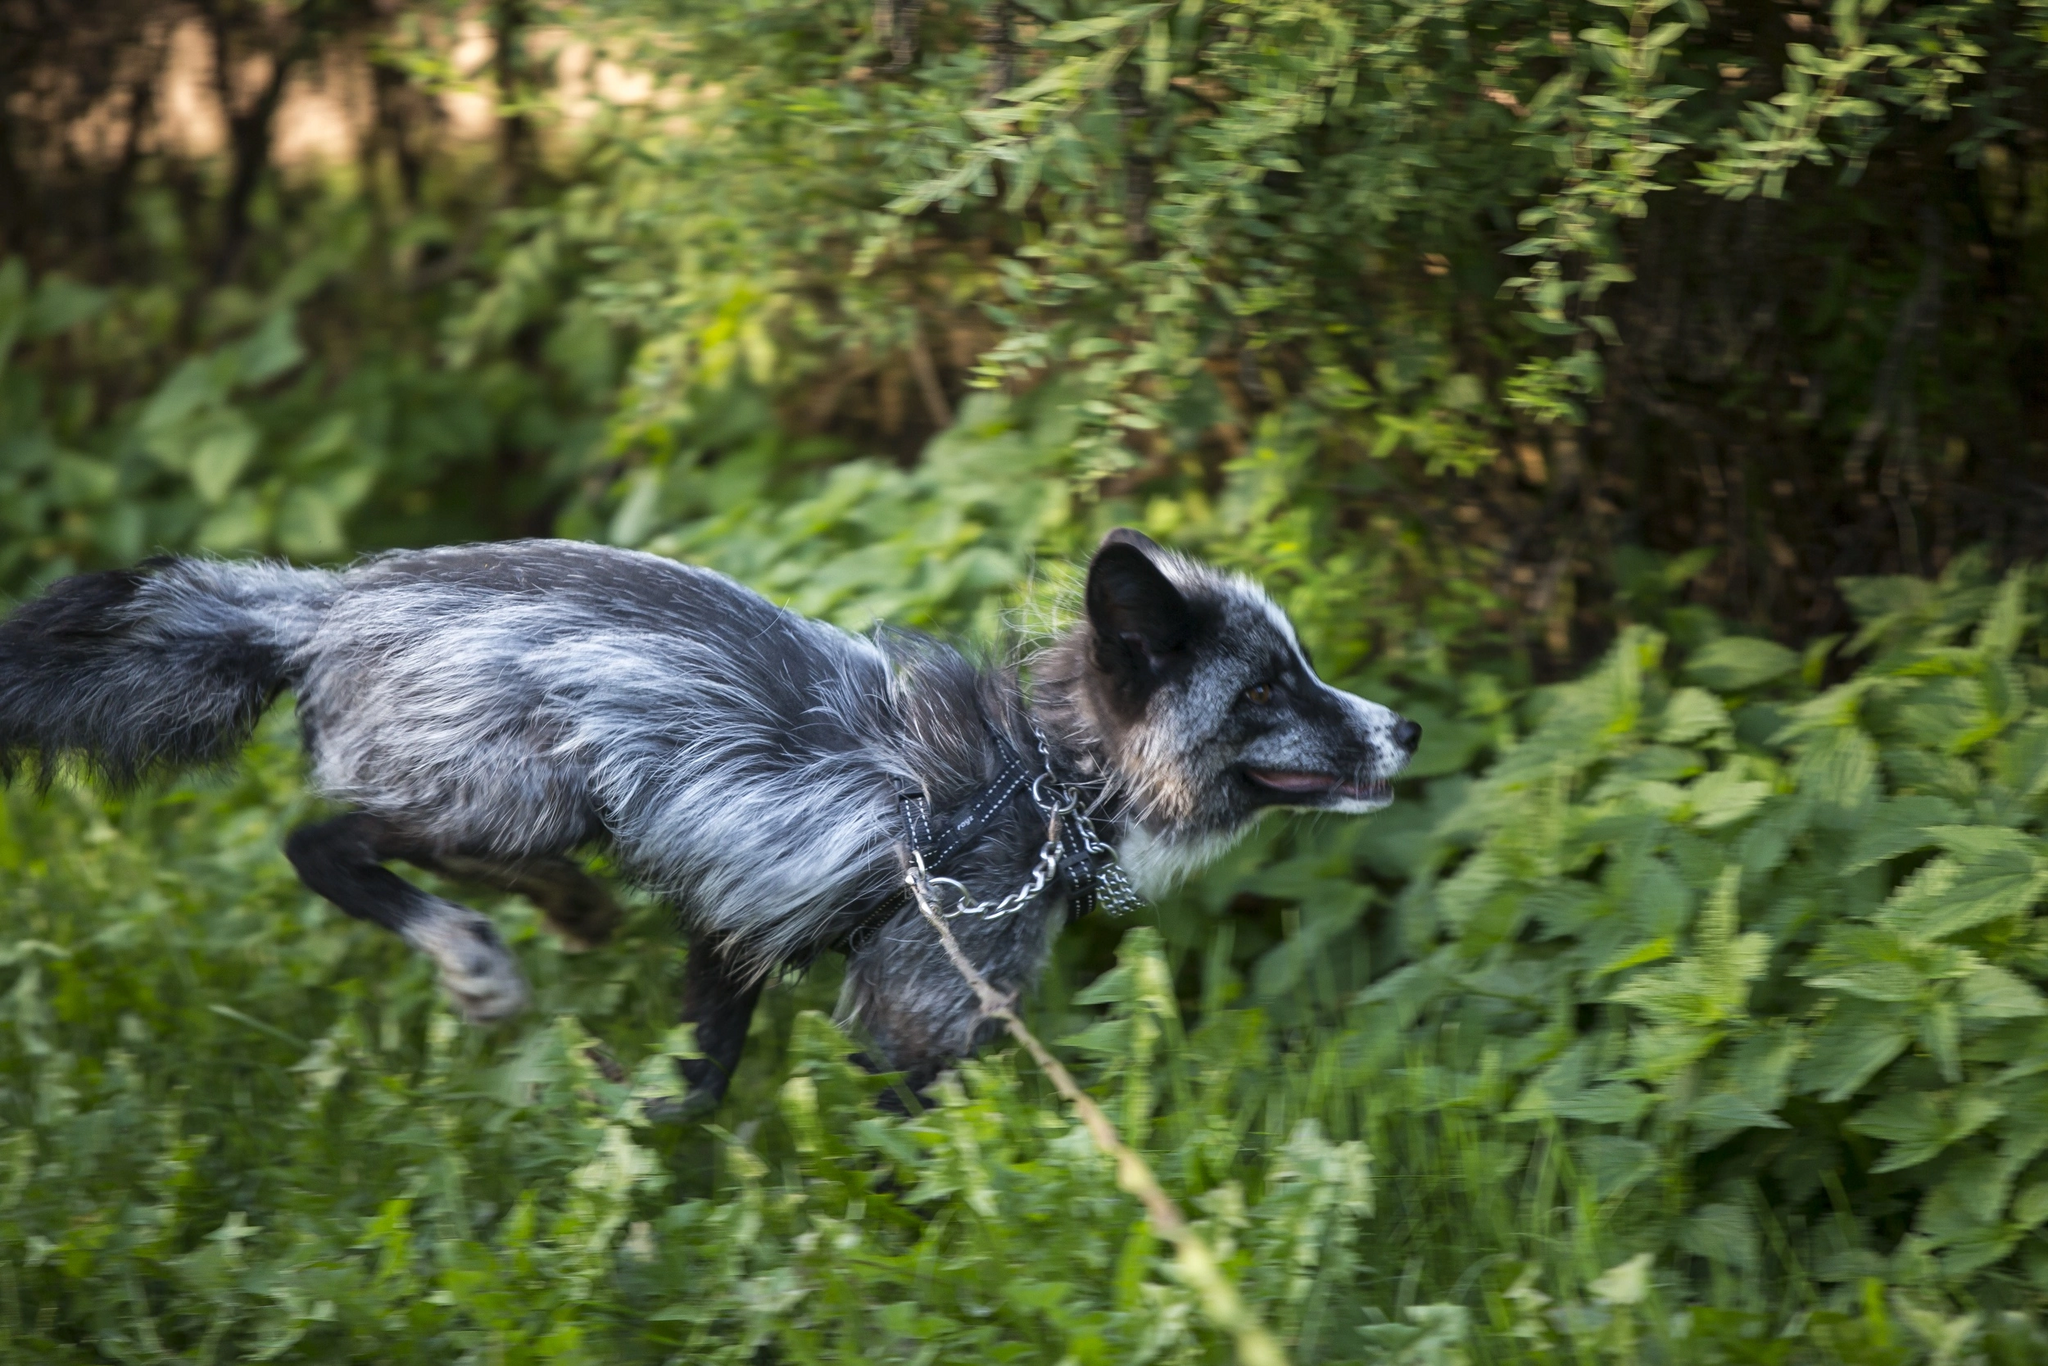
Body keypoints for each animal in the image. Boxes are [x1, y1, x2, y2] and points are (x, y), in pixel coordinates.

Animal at [0, 532, 1417, 1097]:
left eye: (1298, 666)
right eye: (1268, 688)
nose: (1404, 729)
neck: (1039, 778)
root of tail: (329, 601)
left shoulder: (731, 921)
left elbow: (697, 1077)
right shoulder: (916, 1007)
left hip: (538, 807)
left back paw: (565, 916)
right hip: (513, 792)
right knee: (323, 843)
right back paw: (472, 958)